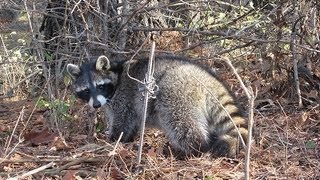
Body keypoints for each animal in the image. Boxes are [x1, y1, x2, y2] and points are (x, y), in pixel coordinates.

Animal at [67, 54, 248, 158]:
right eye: (86, 91)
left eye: (100, 87)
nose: (96, 105)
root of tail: (205, 77)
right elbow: (131, 123)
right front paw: (127, 140)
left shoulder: (124, 98)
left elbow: (123, 121)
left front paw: (113, 140)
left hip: (175, 89)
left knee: (180, 123)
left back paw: (196, 148)